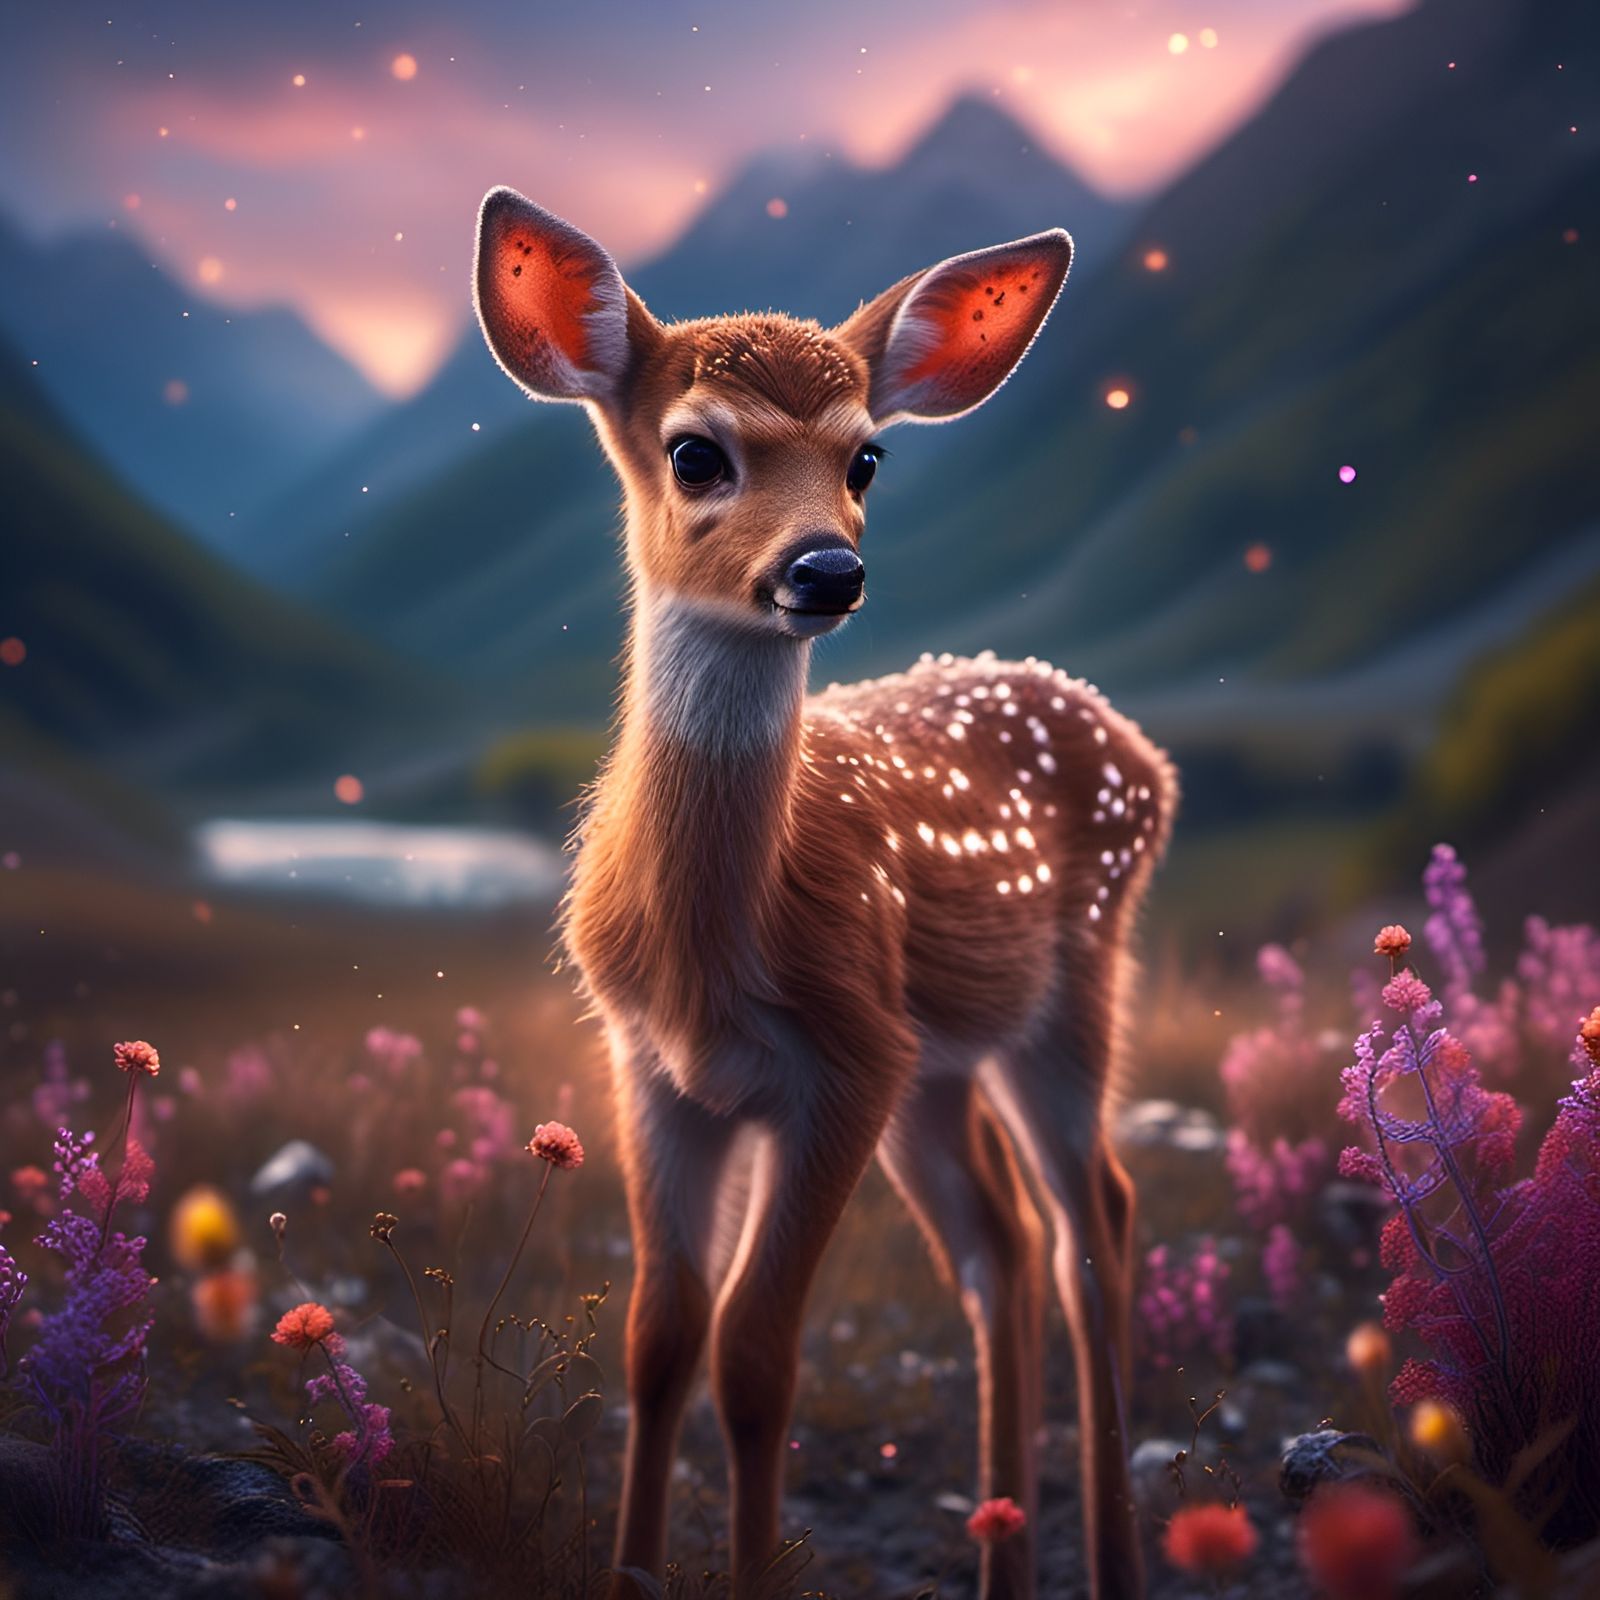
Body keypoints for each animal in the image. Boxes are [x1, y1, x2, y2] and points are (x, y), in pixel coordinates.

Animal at [473, 185, 1176, 1600]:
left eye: (867, 460)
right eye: (695, 453)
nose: (824, 571)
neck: (716, 936)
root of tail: (1147, 753)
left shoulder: (847, 1058)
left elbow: (753, 1357)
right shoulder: (656, 1067)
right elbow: (660, 1339)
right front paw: (633, 1570)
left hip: (1065, 993)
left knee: (1093, 1224)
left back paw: (1109, 1565)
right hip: (941, 1062)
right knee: (1001, 1247)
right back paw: (1003, 1559)